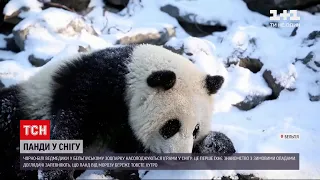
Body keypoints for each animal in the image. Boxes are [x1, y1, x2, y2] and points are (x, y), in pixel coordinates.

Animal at [0, 44, 235, 180]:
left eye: (195, 130)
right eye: (171, 125)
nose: (181, 158)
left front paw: (218, 145)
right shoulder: (94, 85)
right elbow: (71, 124)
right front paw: (57, 175)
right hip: (29, 103)